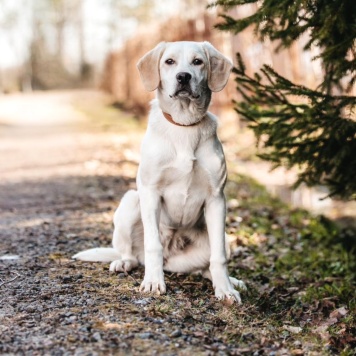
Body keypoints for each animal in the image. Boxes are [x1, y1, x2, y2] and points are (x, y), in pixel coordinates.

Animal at [73, 41, 246, 304]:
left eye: (198, 62)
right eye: (169, 62)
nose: (183, 77)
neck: (184, 126)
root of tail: (170, 258)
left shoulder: (217, 198)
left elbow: (219, 257)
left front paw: (225, 290)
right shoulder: (151, 191)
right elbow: (152, 245)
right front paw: (154, 282)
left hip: (220, 237)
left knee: (205, 267)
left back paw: (230, 281)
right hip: (130, 201)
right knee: (134, 255)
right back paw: (124, 263)